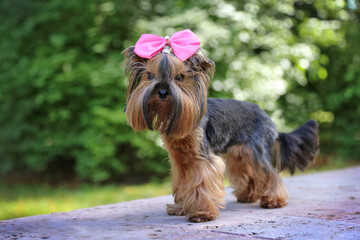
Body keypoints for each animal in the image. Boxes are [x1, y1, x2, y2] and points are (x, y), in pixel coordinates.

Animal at [122, 29, 320, 223]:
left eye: (179, 77)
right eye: (150, 75)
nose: (162, 91)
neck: (173, 114)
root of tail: (269, 119)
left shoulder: (202, 158)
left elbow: (201, 183)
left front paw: (201, 213)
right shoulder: (180, 160)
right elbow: (183, 184)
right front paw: (180, 208)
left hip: (256, 150)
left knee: (269, 174)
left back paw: (273, 200)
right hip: (239, 153)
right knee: (249, 173)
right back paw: (248, 196)